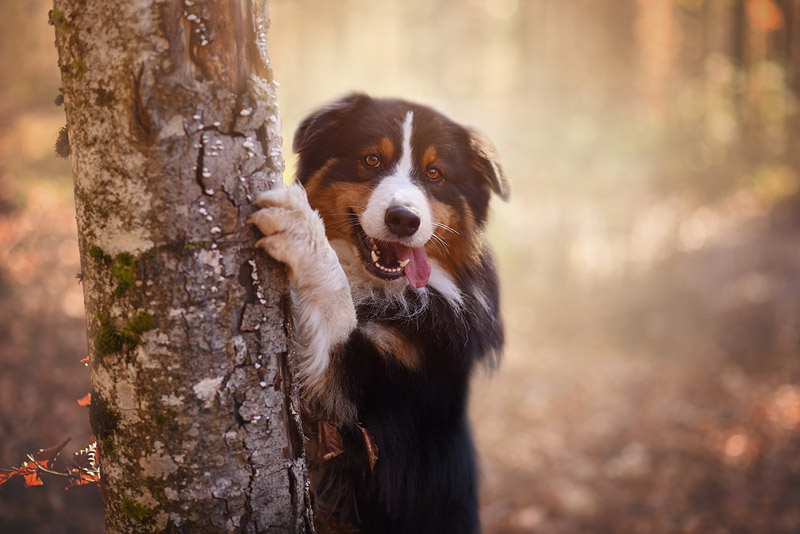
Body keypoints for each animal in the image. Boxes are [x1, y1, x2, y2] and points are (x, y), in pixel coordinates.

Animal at [252, 94, 506, 532]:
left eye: (435, 173)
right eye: (371, 160)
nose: (404, 219)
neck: (379, 288)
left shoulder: (370, 423)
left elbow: (336, 309)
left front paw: (300, 227)